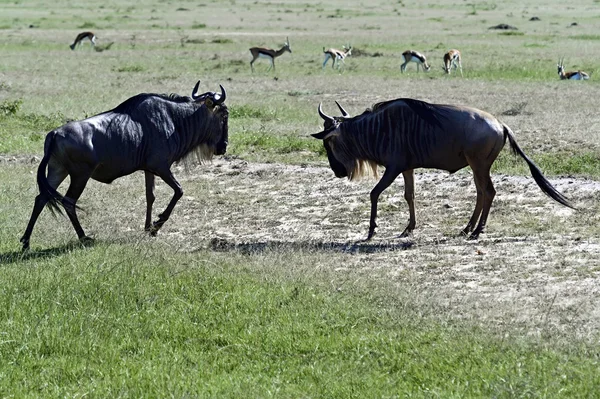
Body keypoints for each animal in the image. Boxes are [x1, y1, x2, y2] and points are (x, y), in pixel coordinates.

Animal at [312, 100, 576, 241]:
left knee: (489, 192)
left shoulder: (393, 168)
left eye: (328, 143)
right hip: (476, 167)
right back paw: (467, 228)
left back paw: (477, 231)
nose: (337, 172)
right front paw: (409, 228)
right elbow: (409, 196)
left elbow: (374, 193)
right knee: (481, 193)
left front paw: (371, 231)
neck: (377, 128)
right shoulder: (406, 168)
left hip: (479, 165)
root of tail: (501, 125)